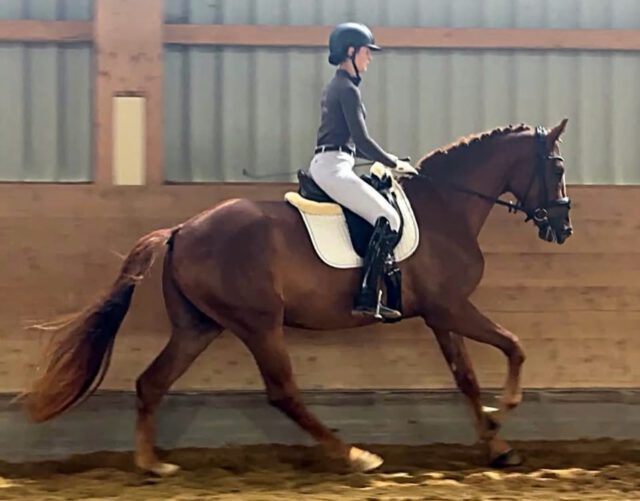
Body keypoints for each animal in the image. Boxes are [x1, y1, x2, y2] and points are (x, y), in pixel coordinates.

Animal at [20, 119, 572, 476]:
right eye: (557, 168)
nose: (563, 228)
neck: (447, 205)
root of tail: (180, 231)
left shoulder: (440, 315)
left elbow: (467, 380)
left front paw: (498, 448)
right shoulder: (450, 307)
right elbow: (513, 344)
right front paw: (509, 406)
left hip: (198, 327)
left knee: (151, 383)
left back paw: (152, 464)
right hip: (259, 323)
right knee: (282, 392)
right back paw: (354, 456)